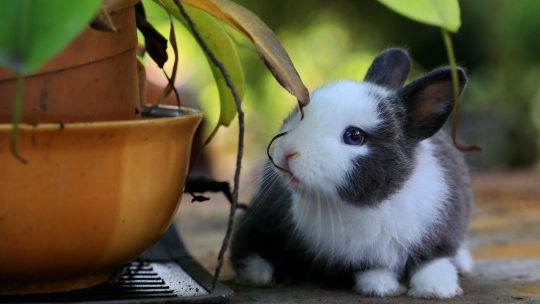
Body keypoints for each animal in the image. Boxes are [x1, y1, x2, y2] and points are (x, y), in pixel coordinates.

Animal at [231, 48, 472, 298]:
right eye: (299, 112)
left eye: (354, 136)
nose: (288, 151)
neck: (372, 206)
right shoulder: (355, 259)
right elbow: (372, 269)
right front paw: (382, 287)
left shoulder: (441, 232)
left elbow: (433, 261)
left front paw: (435, 289)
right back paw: (259, 274)